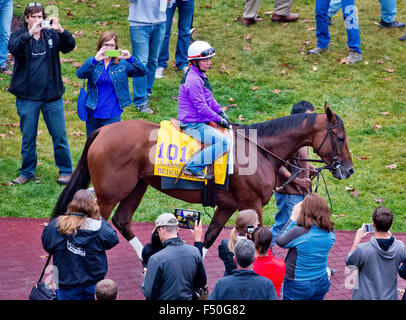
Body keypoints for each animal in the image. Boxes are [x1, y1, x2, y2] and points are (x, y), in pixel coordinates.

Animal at [52, 103, 354, 260]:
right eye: (340, 137)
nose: (349, 170)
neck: (259, 149)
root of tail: (102, 130)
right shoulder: (252, 204)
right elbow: (259, 237)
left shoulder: (228, 205)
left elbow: (209, 237)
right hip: (109, 193)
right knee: (93, 225)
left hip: (137, 186)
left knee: (122, 221)